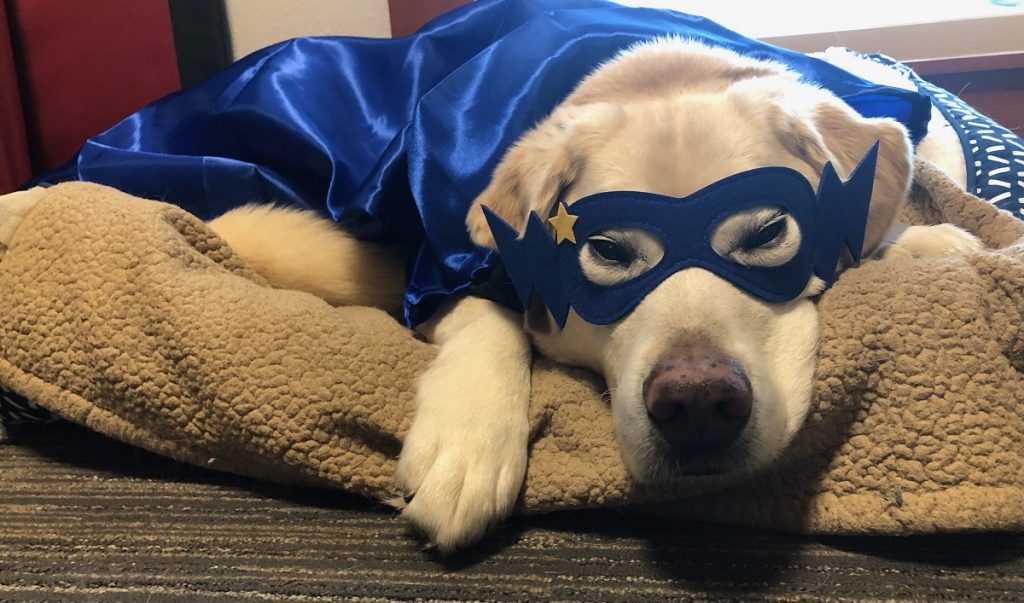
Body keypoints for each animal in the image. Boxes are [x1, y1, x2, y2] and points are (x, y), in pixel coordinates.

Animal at [205, 39, 974, 552]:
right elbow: (489, 315)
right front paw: (467, 442)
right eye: (607, 251)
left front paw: (925, 240)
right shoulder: (439, 260)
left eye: (767, 232)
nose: (698, 405)